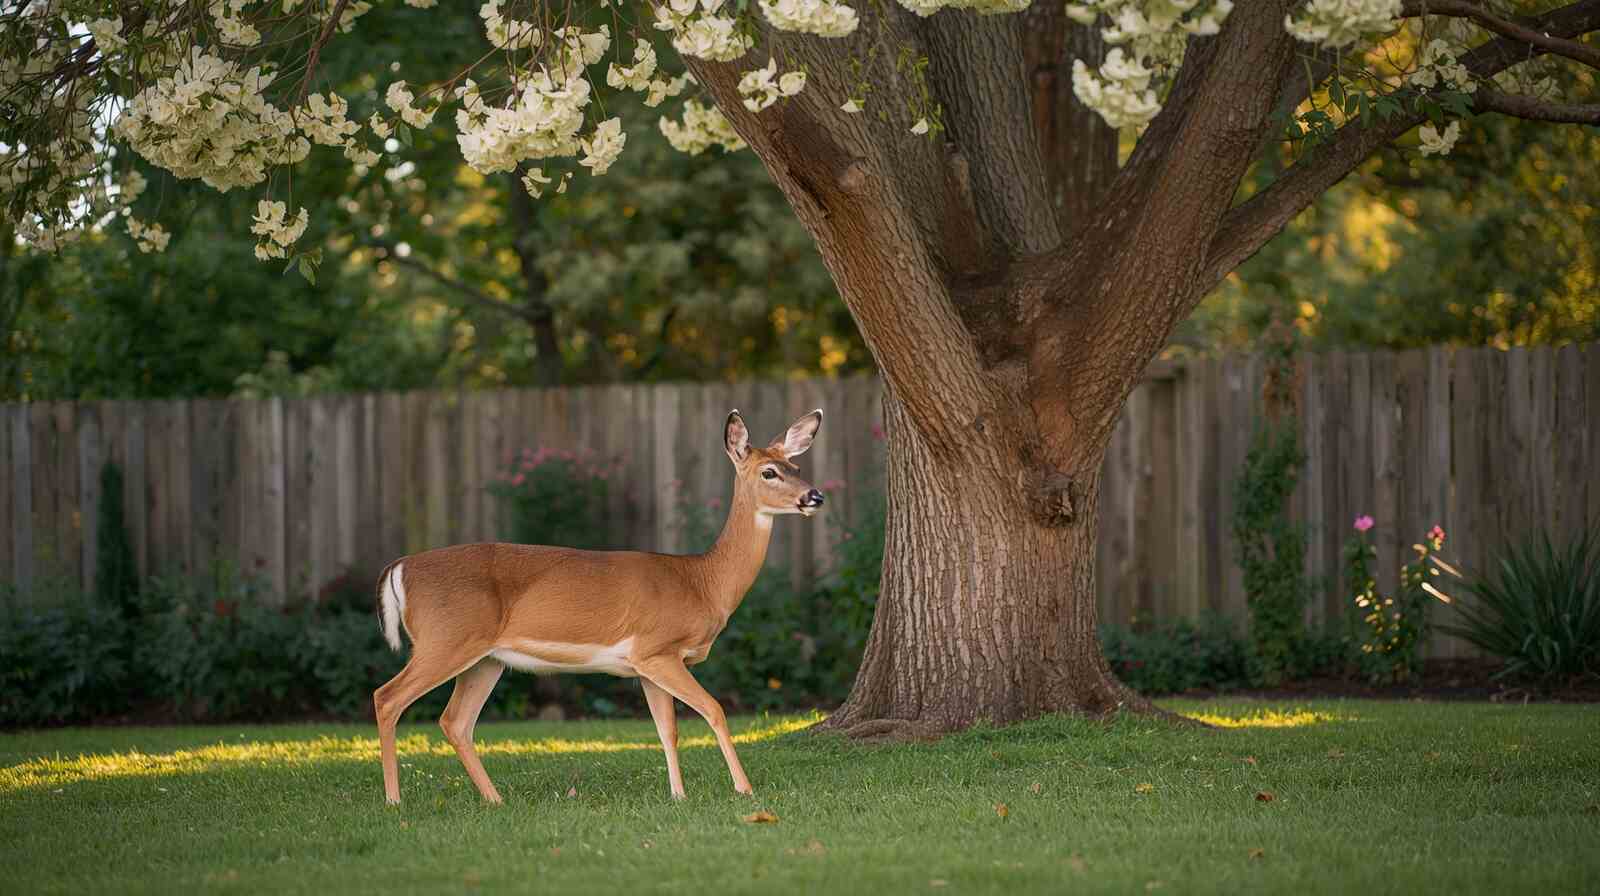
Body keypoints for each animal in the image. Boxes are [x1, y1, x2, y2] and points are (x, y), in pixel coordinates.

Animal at [372, 408, 826, 805]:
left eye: (796, 466)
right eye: (769, 472)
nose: (815, 496)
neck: (702, 582)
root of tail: (400, 566)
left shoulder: (647, 663)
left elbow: (667, 730)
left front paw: (678, 795)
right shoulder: (657, 648)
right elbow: (714, 710)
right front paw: (743, 789)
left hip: (485, 658)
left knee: (455, 721)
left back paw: (495, 799)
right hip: (445, 640)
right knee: (387, 697)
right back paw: (394, 801)